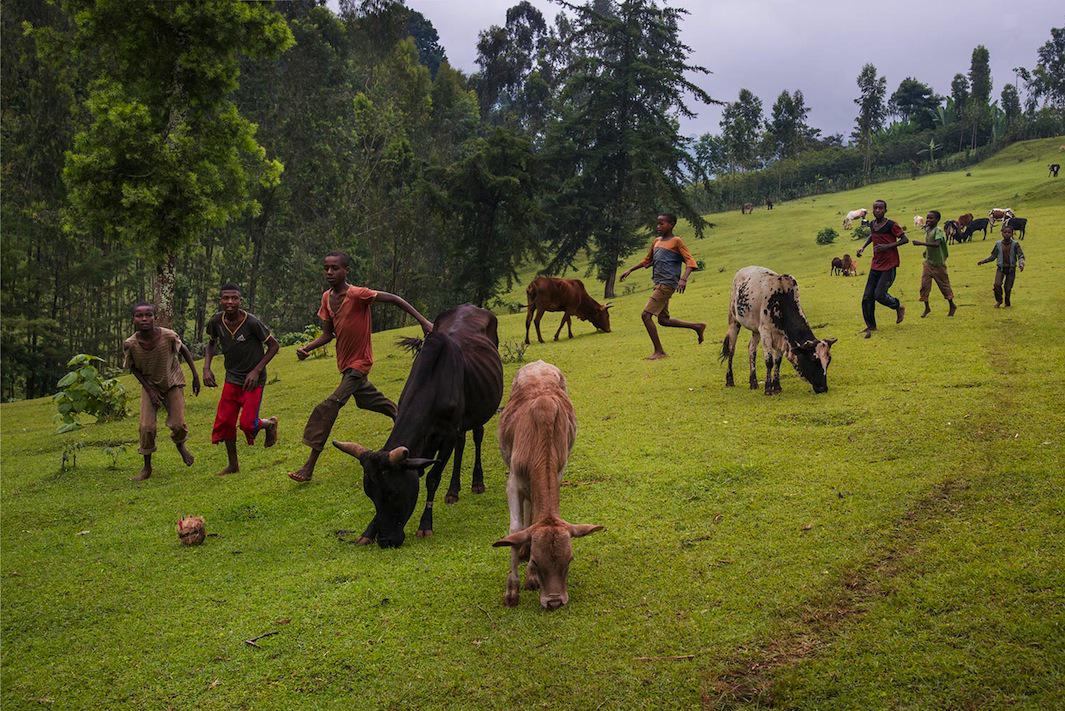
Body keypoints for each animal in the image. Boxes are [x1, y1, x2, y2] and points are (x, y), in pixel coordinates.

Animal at [336, 302, 502, 549]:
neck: (433, 382)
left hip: (479, 410)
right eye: (371, 495)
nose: (386, 540)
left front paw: (425, 525)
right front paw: (368, 531)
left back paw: (477, 482)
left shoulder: (447, 434)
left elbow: (432, 478)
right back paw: (453, 491)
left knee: (476, 436)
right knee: (462, 443)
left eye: (394, 493)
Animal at [489, 364, 600, 608]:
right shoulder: (513, 481)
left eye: (569, 560)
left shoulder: (558, 472)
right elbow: (515, 529)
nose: (554, 602)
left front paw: (530, 578)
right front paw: (512, 590)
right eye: (537, 562)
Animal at [719, 269, 834, 398]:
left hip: (755, 330)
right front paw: (768, 389)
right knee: (731, 349)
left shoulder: (781, 337)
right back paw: (730, 380)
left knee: (751, 349)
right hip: (734, 321)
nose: (823, 388)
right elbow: (769, 361)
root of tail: (741, 271)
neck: (781, 299)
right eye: (814, 359)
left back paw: (753, 382)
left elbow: (777, 361)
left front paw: (777, 387)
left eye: (828, 361)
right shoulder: (766, 332)